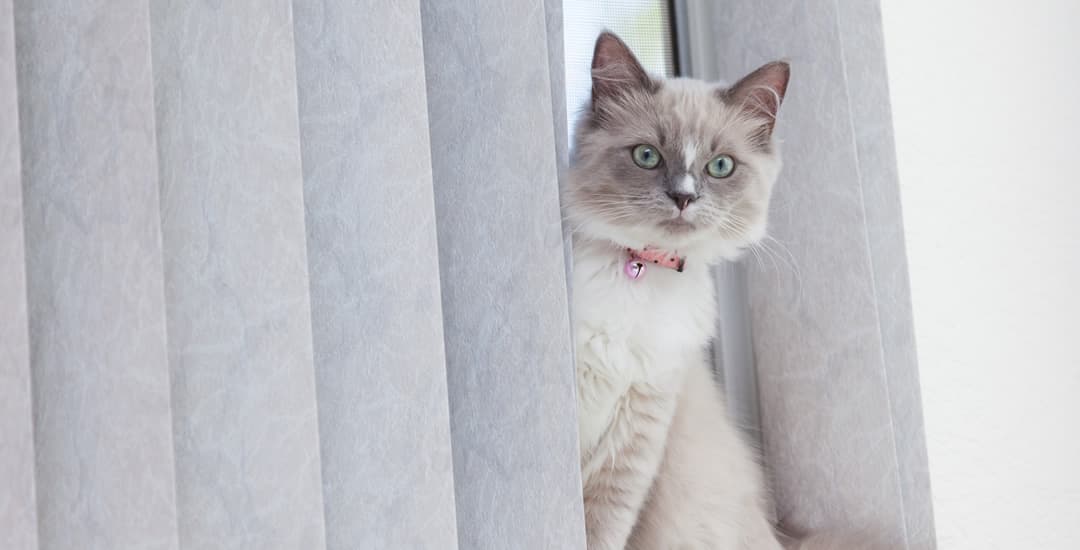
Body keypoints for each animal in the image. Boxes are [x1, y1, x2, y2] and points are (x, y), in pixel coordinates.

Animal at [565, 33, 859, 548]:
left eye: (720, 166)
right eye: (647, 156)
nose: (684, 197)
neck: (643, 270)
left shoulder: (636, 438)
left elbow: (604, 532)